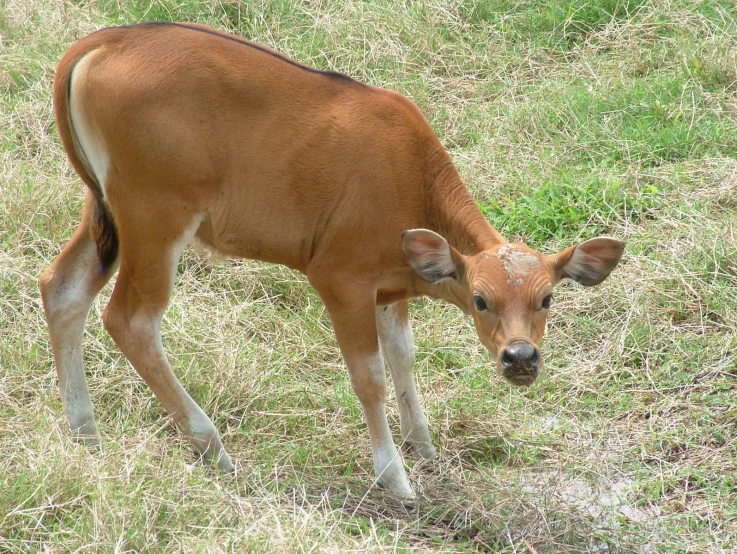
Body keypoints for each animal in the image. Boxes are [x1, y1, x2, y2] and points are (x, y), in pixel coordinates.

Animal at [40, 22, 624, 496]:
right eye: (480, 299)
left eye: (547, 299)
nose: (520, 359)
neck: (409, 179)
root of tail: (103, 42)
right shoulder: (340, 281)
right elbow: (370, 378)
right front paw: (395, 477)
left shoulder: (390, 287)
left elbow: (404, 358)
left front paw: (423, 446)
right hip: (154, 220)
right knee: (130, 320)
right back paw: (212, 446)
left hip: (105, 210)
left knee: (61, 288)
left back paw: (85, 432)